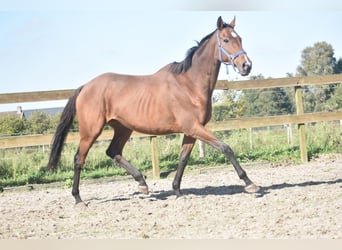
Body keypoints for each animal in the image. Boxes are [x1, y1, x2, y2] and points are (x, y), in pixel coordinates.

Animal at [47, 16, 260, 205]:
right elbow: (226, 148)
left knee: (113, 151)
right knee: (79, 159)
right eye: (226, 39)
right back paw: (78, 199)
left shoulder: (191, 131)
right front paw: (250, 183)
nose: (246, 65)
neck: (190, 85)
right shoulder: (194, 127)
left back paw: (142, 183)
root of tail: (85, 86)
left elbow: (183, 159)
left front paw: (177, 191)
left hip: (123, 128)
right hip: (91, 130)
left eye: (240, 38)